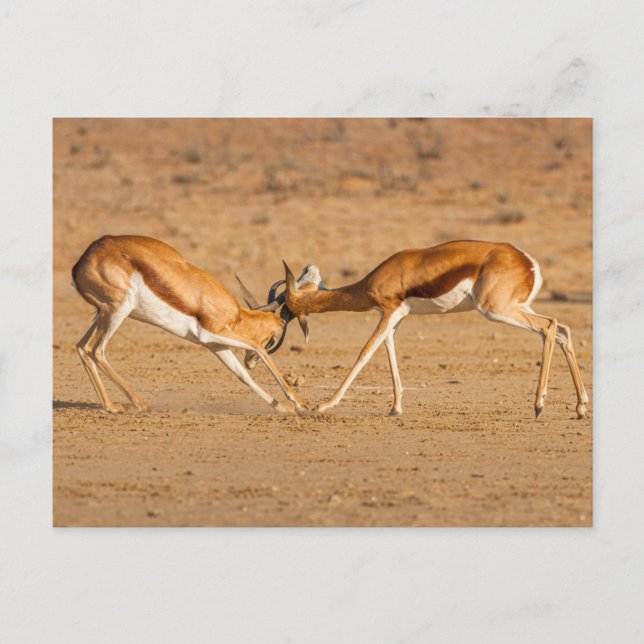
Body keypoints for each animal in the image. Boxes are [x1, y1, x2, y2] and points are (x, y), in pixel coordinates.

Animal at [71, 235, 318, 414]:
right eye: (273, 339)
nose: (250, 363)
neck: (236, 315)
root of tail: (80, 263)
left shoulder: (215, 345)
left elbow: (242, 376)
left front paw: (283, 408)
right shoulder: (212, 333)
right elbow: (258, 349)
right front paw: (300, 404)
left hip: (103, 314)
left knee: (82, 347)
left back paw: (111, 406)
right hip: (117, 311)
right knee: (97, 350)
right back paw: (136, 404)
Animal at [278, 240, 589, 418]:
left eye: (286, 304)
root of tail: (527, 262)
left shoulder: (389, 311)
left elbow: (365, 352)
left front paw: (323, 405)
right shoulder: (395, 317)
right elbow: (389, 352)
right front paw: (395, 408)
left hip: (496, 310)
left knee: (549, 327)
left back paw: (539, 405)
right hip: (517, 307)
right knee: (563, 329)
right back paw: (581, 407)